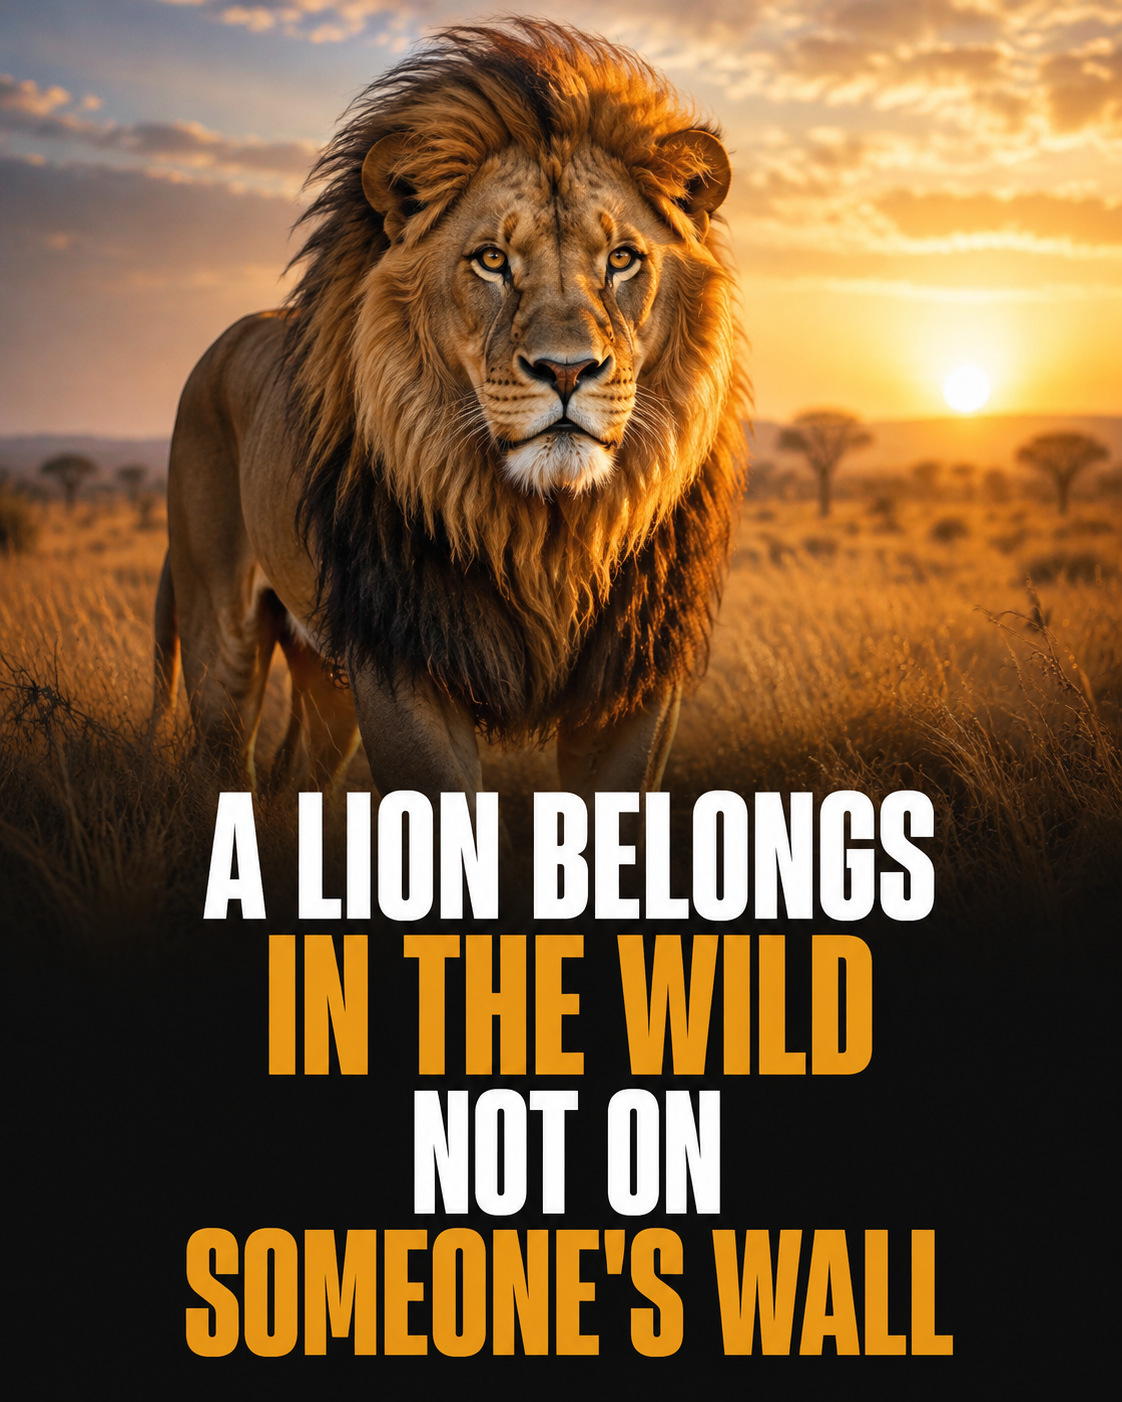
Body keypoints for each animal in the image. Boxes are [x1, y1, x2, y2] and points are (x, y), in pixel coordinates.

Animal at [155, 21, 747, 809]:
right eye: (492, 260)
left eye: (622, 259)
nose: (567, 370)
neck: (549, 532)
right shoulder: (403, 662)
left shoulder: (635, 677)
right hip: (220, 636)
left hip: (326, 680)